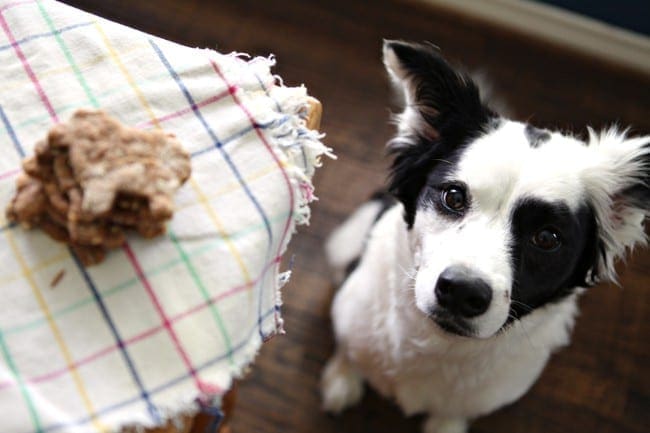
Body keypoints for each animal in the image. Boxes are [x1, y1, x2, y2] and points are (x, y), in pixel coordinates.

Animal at [318, 38, 648, 430]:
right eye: (453, 197)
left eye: (547, 238)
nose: (461, 292)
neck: (437, 343)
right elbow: (349, 346)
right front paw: (343, 376)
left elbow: (451, 415)